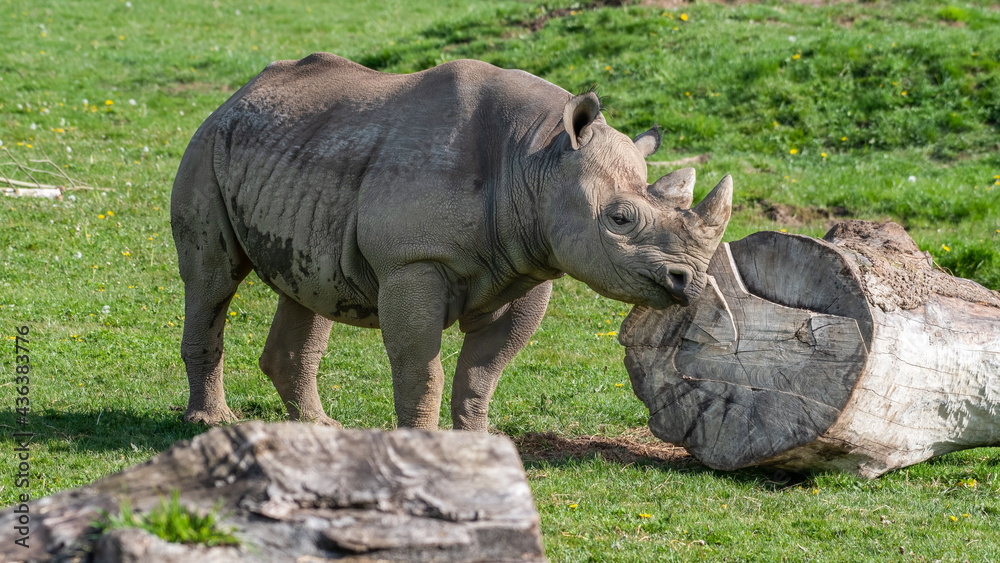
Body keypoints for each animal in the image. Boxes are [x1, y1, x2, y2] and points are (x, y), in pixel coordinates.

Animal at [171, 53, 732, 431]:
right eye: (619, 219)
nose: (688, 282)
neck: (537, 157)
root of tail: (239, 93)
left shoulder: (532, 263)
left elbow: (481, 374)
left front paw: (478, 450)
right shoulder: (412, 262)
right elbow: (422, 371)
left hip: (300, 153)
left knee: (306, 283)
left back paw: (319, 429)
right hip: (207, 145)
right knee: (213, 280)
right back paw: (211, 422)